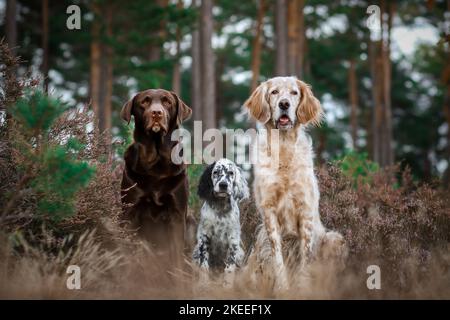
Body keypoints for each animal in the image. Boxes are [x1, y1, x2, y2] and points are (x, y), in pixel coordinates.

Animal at [121, 89, 193, 258]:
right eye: (144, 102)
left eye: (167, 102)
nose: (156, 113)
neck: (156, 163)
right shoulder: (129, 212)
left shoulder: (177, 214)